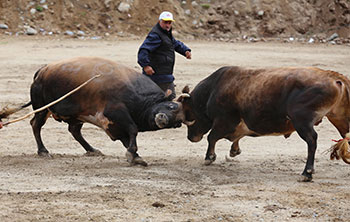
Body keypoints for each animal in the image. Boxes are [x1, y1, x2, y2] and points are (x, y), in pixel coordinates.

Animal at [179, 67, 350, 181]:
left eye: (188, 111)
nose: (190, 137)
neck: (213, 89)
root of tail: (334, 77)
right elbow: (235, 137)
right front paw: (234, 150)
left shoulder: (225, 121)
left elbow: (212, 137)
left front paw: (209, 157)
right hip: (340, 119)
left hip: (302, 122)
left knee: (312, 141)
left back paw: (306, 173)